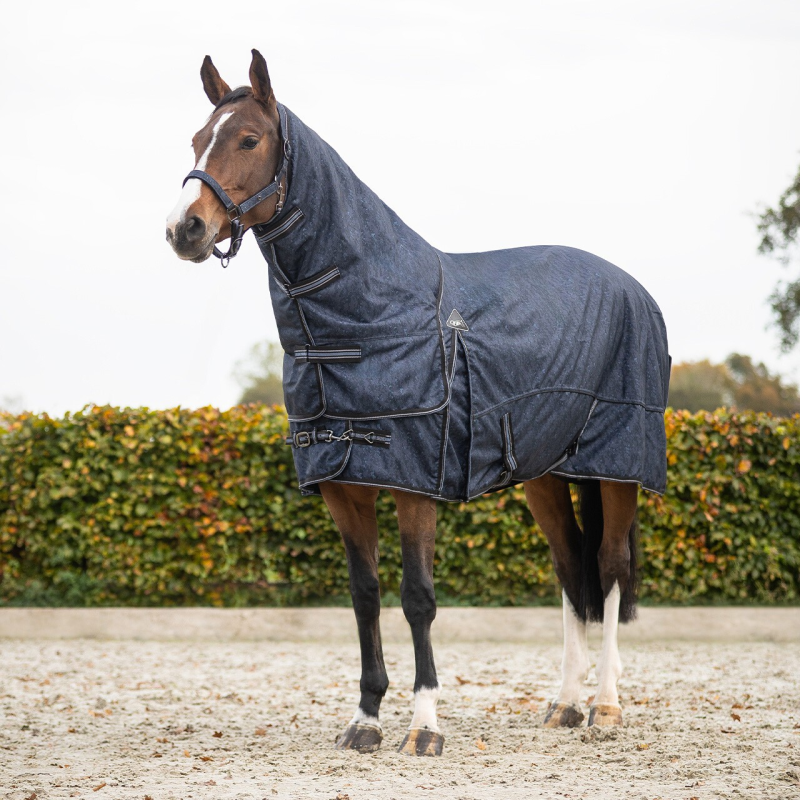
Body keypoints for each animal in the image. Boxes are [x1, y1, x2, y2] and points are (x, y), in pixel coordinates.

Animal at [166, 49, 670, 757]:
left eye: (249, 139)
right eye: (195, 140)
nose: (183, 229)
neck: (366, 315)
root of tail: (633, 288)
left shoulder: (415, 483)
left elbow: (418, 598)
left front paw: (425, 725)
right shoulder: (344, 484)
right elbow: (365, 596)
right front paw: (365, 720)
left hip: (617, 466)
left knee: (611, 568)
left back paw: (605, 706)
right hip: (545, 474)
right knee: (573, 573)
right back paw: (565, 705)